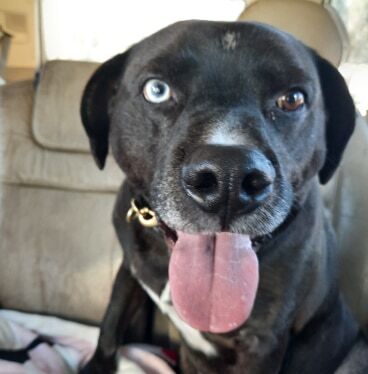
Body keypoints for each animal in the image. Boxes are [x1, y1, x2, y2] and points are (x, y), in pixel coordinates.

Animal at [79, 21, 366, 374]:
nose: (229, 178)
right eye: (156, 90)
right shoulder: (129, 269)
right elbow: (112, 320)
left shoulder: (262, 342)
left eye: (293, 99)